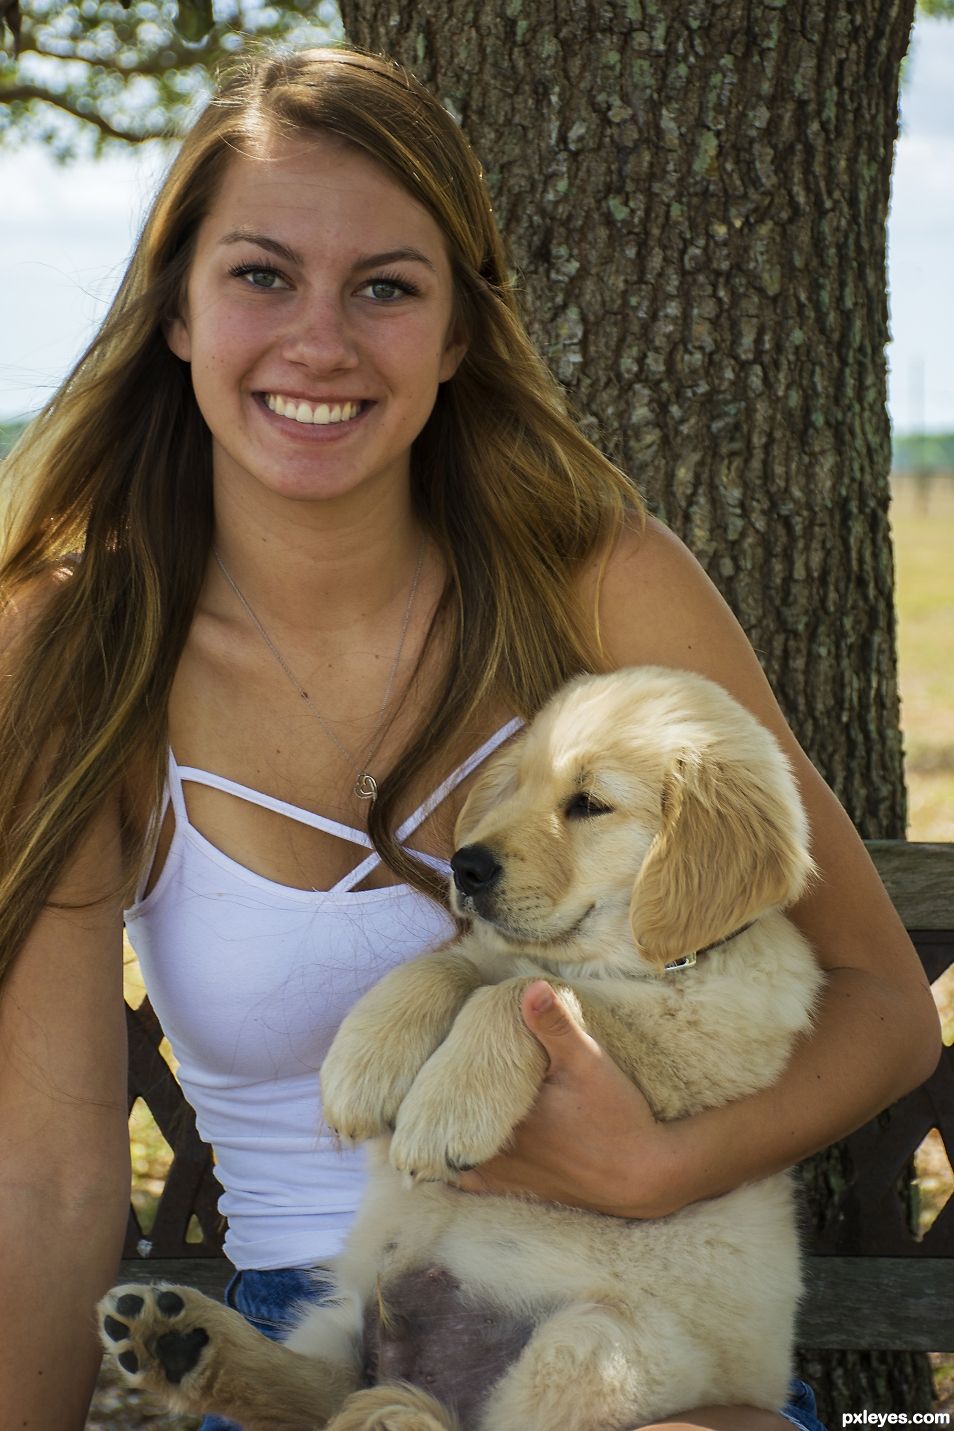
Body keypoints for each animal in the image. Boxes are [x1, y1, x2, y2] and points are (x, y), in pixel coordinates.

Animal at [100, 663, 823, 1425]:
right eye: (519, 784)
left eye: (590, 804)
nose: (465, 866)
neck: (629, 960)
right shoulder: (499, 955)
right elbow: (457, 964)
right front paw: (363, 1063)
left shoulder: (696, 1059)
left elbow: (521, 989)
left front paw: (447, 1109)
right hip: (342, 1314)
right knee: (319, 1392)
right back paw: (179, 1341)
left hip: (594, 1349)